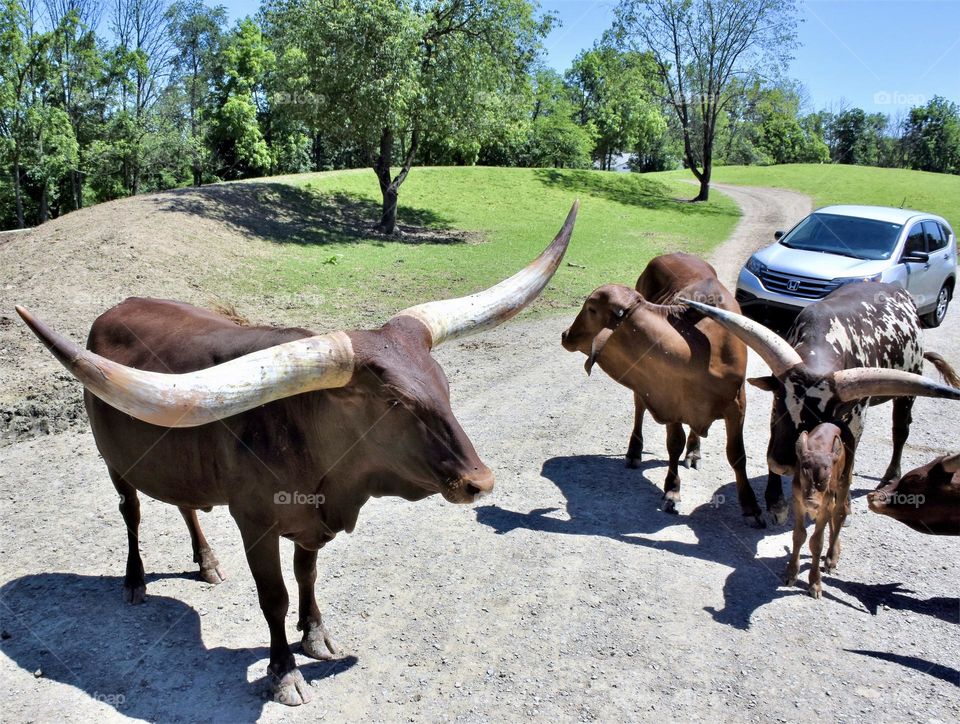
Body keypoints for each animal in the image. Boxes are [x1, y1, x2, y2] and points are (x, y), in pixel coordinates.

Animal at [16, 201, 576, 704]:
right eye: (393, 402)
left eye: (444, 384)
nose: (480, 481)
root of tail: (115, 309)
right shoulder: (255, 522)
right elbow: (275, 597)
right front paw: (283, 671)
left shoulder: (311, 520)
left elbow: (307, 575)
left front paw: (316, 635)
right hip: (115, 463)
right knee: (130, 512)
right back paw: (135, 581)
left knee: (185, 504)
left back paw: (207, 562)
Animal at [560, 252, 768, 524]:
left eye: (591, 309)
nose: (565, 335)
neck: (700, 352)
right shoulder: (669, 397)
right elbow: (674, 444)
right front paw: (672, 491)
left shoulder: (737, 404)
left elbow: (736, 454)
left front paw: (751, 506)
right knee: (639, 408)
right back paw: (634, 452)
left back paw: (694, 452)